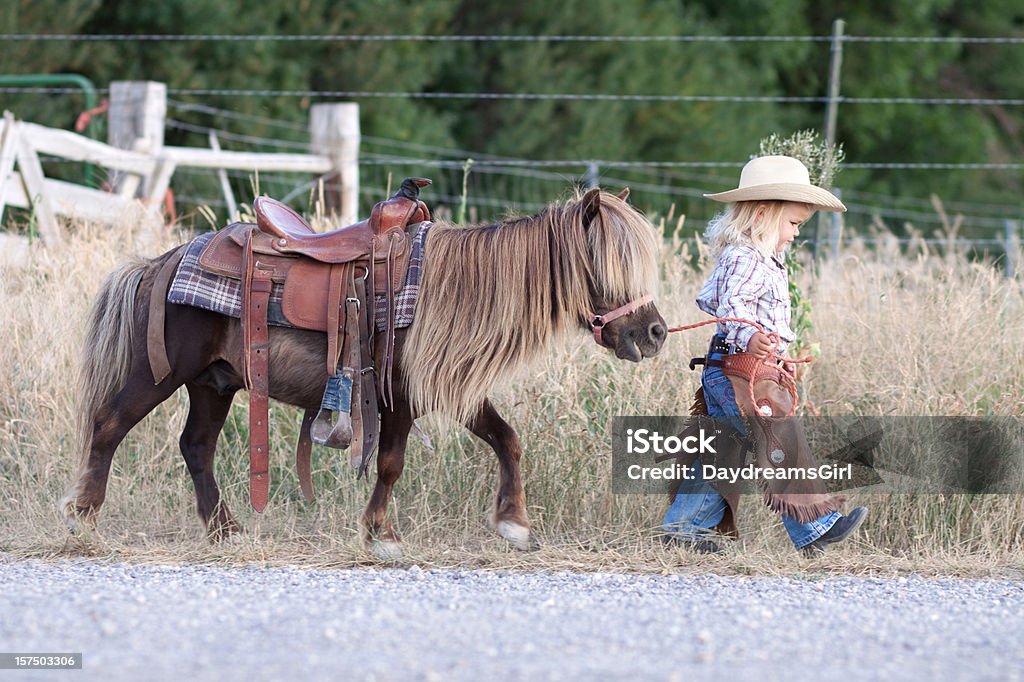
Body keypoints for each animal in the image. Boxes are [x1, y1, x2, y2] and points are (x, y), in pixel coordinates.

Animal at [66, 183, 671, 557]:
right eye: (606, 265)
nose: (655, 333)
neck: (448, 290)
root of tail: (163, 262)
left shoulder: (449, 389)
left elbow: (508, 440)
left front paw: (514, 525)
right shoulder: (398, 396)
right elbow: (391, 464)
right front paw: (382, 535)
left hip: (214, 383)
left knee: (195, 447)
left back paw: (226, 531)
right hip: (159, 374)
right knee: (109, 425)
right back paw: (82, 515)